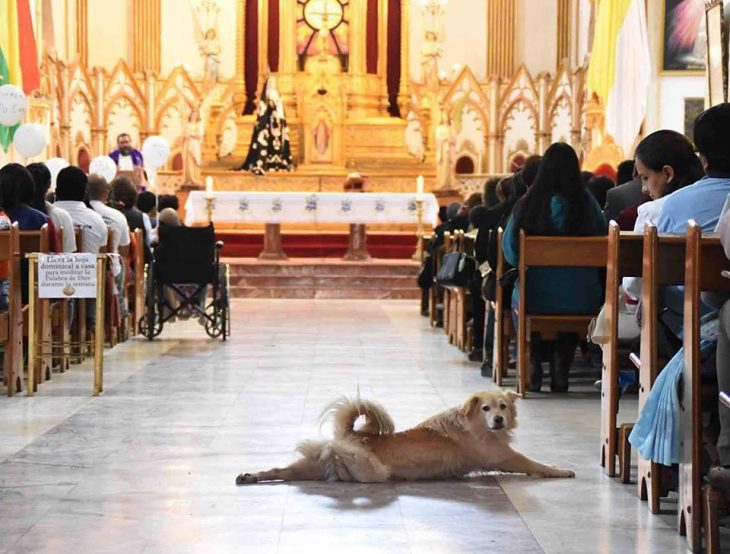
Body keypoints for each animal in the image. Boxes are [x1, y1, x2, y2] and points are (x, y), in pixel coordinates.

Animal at [236, 388, 572, 484]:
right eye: (487, 408)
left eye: (503, 406)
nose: (499, 420)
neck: (474, 425)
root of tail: (349, 435)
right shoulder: (502, 457)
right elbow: (534, 463)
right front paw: (559, 470)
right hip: (365, 469)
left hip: (313, 467)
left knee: (281, 470)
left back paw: (251, 476)